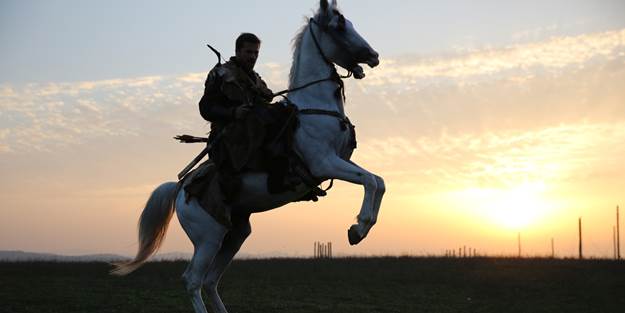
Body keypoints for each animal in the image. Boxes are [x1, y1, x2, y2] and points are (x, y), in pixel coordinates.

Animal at [114, 1, 382, 310]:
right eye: (339, 26)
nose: (374, 56)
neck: (313, 108)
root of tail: (180, 188)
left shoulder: (342, 161)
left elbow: (378, 181)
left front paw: (361, 227)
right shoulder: (324, 163)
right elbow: (370, 181)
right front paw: (358, 229)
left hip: (235, 235)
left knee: (211, 280)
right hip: (208, 238)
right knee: (193, 280)